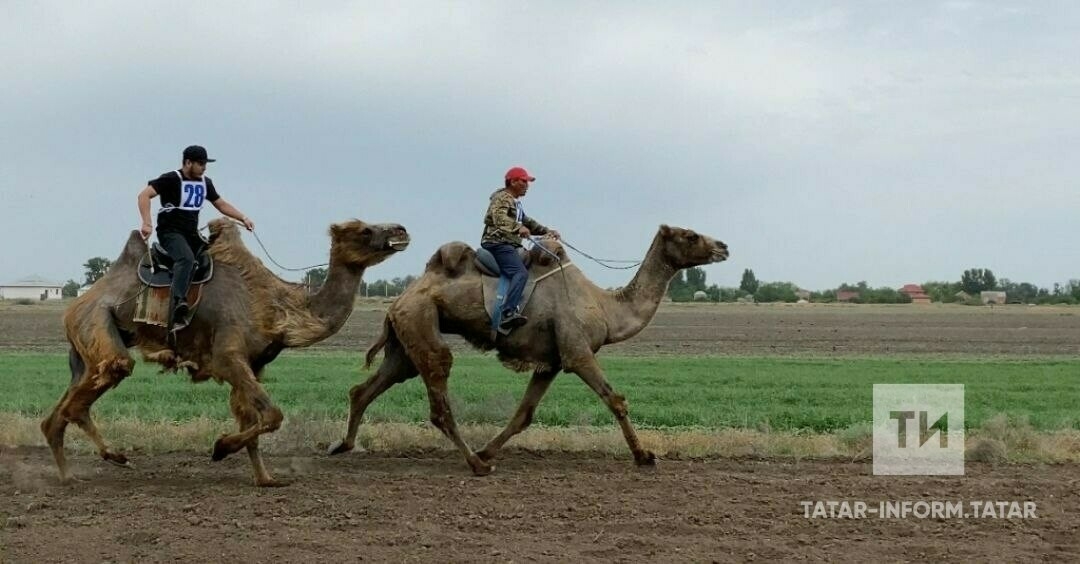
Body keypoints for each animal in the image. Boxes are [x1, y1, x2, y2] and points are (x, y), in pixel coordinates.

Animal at [39, 215, 406, 481]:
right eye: (364, 229)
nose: (401, 230)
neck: (276, 308)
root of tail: (76, 304)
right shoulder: (228, 357)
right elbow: (272, 414)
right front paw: (219, 448)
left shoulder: (254, 364)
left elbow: (251, 418)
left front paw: (266, 480)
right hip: (97, 324)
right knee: (99, 384)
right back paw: (113, 458)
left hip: (85, 349)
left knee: (57, 416)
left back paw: (69, 475)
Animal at [328, 221, 730, 471]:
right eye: (690, 235)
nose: (723, 246)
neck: (604, 306)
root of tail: (400, 300)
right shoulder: (577, 351)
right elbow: (616, 400)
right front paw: (645, 455)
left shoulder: (550, 362)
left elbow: (524, 414)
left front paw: (489, 446)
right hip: (422, 325)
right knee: (438, 396)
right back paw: (477, 465)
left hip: (405, 340)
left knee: (365, 389)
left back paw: (342, 446)